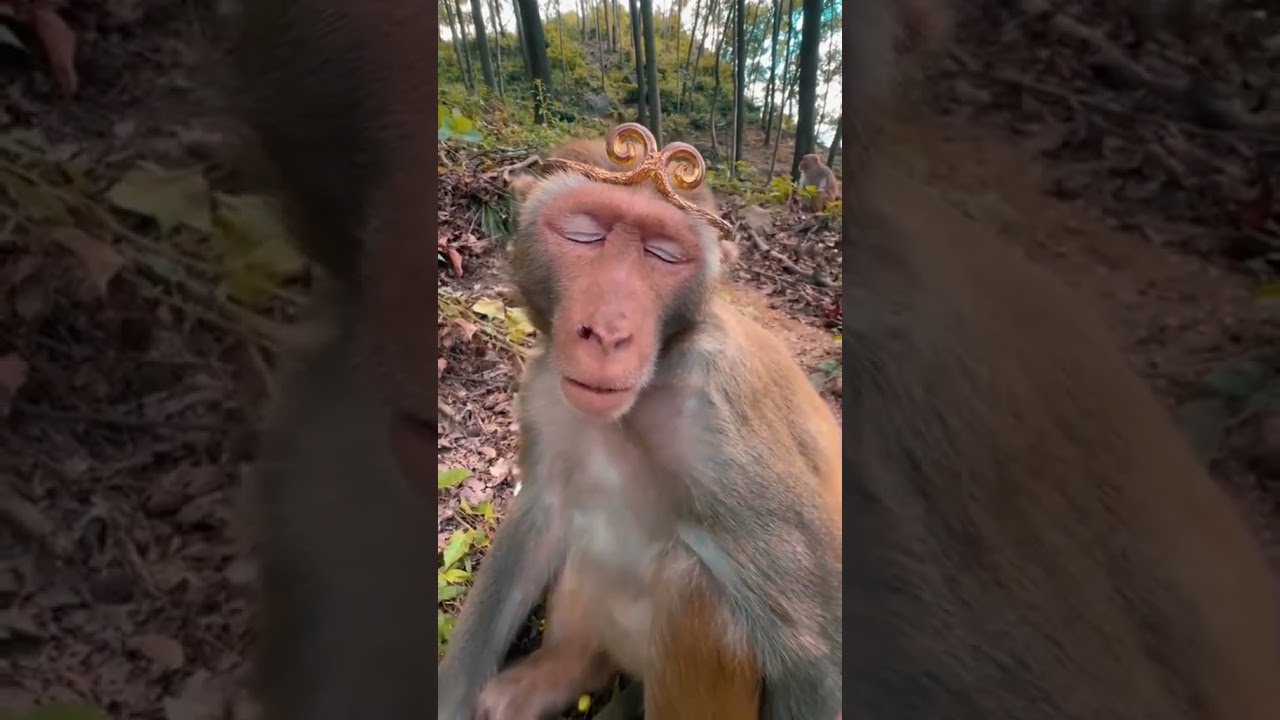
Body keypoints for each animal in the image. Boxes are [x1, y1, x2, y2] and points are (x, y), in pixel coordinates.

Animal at [438, 129, 843, 719]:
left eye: (662, 252)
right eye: (585, 233)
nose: (608, 331)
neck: (650, 387)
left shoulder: (720, 426)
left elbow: (815, 652)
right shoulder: (547, 388)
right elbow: (541, 514)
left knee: (695, 585)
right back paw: (565, 670)